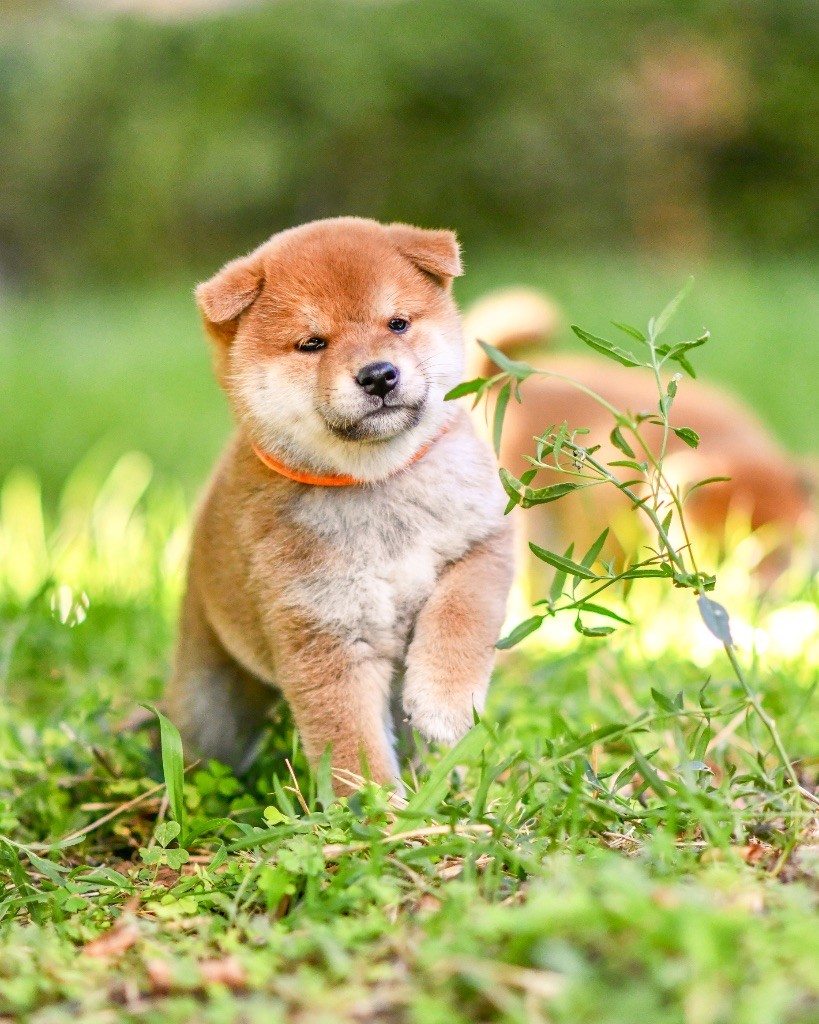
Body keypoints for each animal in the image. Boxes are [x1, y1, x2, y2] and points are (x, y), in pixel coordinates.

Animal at [166, 218, 514, 794]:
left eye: (397, 323)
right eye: (312, 343)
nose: (378, 374)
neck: (377, 484)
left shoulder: (484, 541)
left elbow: (461, 615)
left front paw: (444, 703)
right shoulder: (323, 631)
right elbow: (353, 747)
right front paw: (381, 810)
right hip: (212, 700)